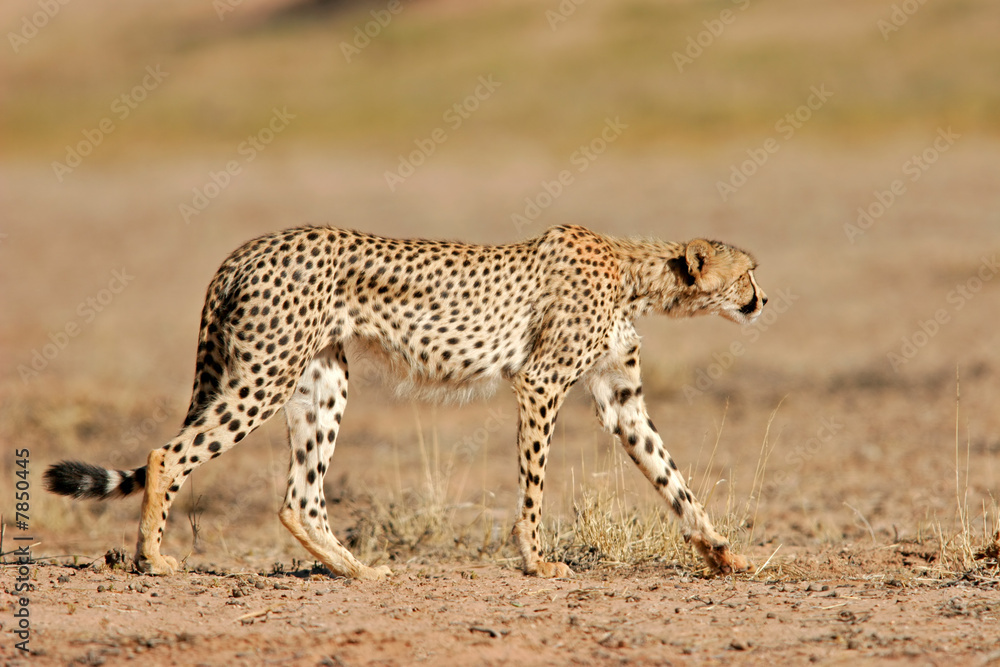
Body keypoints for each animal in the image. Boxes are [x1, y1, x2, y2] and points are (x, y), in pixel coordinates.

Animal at [45, 224, 766, 580]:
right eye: (748, 272)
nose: (764, 300)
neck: (636, 273)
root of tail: (247, 248)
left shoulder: (621, 398)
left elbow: (673, 477)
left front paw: (722, 552)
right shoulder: (541, 382)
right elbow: (534, 485)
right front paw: (536, 560)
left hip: (321, 383)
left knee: (299, 496)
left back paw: (360, 572)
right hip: (263, 377)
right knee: (168, 453)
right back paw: (153, 559)